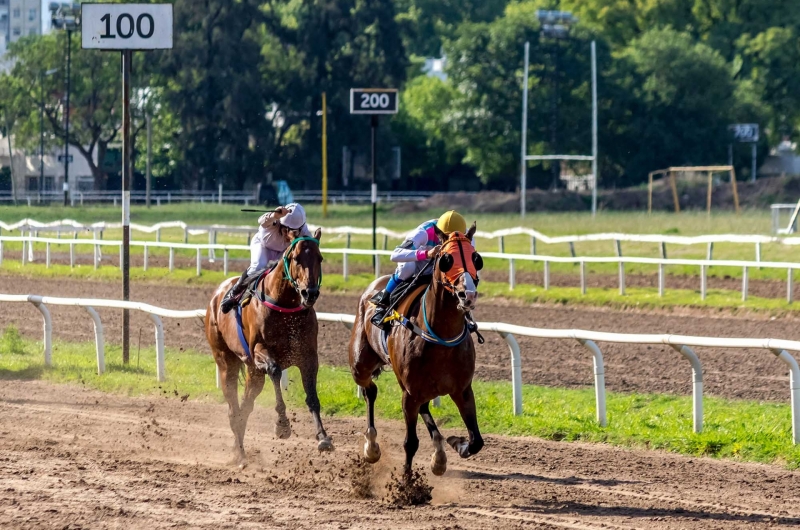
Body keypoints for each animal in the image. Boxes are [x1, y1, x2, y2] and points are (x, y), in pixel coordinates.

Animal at [206, 228, 334, 466]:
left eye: (320, 258)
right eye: (296, 258)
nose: (310, 293)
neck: (286, 304)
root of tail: (217, 294)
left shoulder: (308, 356)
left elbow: (312, 397)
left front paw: (323, 437)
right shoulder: (260, 351)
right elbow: (275, 371)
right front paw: (282, 424)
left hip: (253, 373)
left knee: (244, 409)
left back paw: (239, 451)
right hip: (226, 360)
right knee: (233, 409)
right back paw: (240, 455)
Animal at [352, 223, 488, 474]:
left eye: (476, 258)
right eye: (446, 259)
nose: (468, 294)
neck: (441, 337)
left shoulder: (462, 390)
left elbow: (476, 441)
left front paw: (457, 443)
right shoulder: (410, 394)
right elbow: (410, 443)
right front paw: (406, 482)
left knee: (423, 406)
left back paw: (439, 454)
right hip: (361, 365)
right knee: (369, 390)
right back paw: (372, 447)